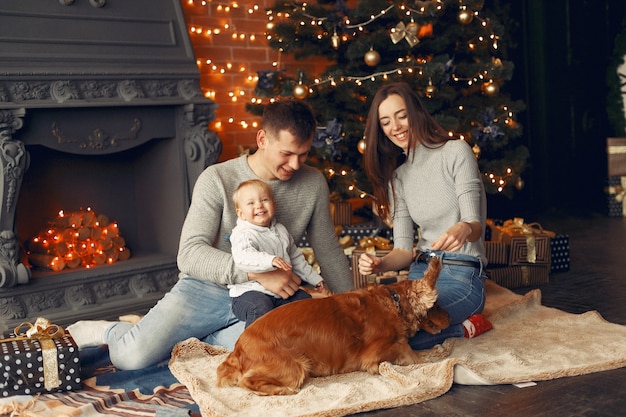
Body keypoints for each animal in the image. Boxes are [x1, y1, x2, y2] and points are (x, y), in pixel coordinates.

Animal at [216, 255, 444, 394]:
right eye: (437, 304)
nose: (449, 316)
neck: (393, 301)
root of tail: (238, 349)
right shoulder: (375, 354)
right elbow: (409, 351)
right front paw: (429, 356)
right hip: (295, 366)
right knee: (247, 381)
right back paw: (282, 390)